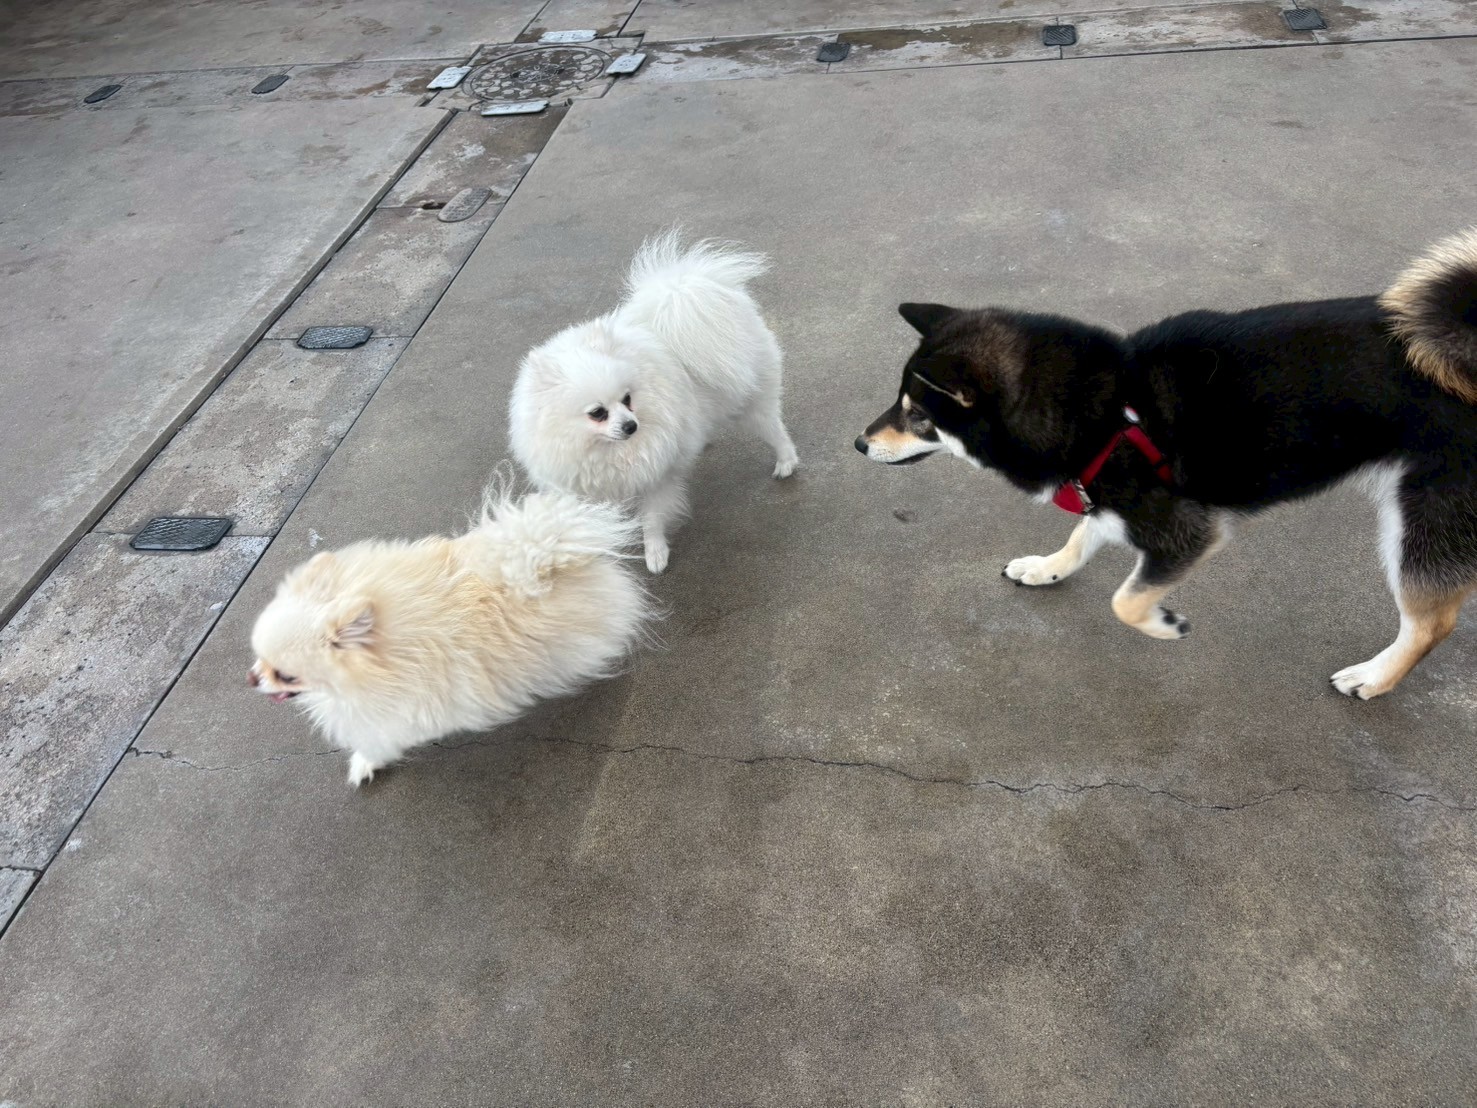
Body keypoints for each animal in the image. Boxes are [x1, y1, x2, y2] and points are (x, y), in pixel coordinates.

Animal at [249, 488, 652, 786]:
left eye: (286, 675)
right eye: (259, 659)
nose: (252, 679)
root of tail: (546, 558)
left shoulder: (396, 716)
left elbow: (378, 742)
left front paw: (363, 764)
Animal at [509, 230, 799, 573]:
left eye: (627, 399)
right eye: (597, 413)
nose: (631, 426)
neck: (605, 452)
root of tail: (687, 288)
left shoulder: (656, 477)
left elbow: (651, 518)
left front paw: (655, 552)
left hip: (749, 401)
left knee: (774, 429)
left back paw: (786, 462)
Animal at [856, 229, 1477, 699]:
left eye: (917, 415)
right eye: (899, 401)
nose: (860, 443)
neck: (1106, 410)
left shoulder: (1185, 530)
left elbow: (1125, 600)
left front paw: (1162, 623)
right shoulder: (1105, 496)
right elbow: (1082, 538)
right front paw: (1046, 567)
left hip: (1422, 518)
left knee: (1431, 623)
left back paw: (1374, 678)